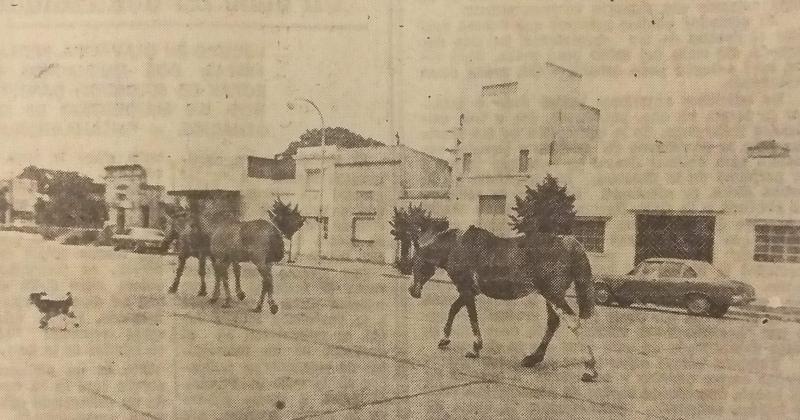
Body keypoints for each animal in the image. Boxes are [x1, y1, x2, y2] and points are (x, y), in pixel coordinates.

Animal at [410, 225, 596, 382]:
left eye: (416, 263)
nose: (412, 291)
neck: (455, 247)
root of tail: (569, 243)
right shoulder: (469, 292)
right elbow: (454, 309)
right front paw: (444, 340)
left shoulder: (466, 290)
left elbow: (472, 317)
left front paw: (475, 348)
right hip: (551, 296)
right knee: (553, 322)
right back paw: (532, 358)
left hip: (553, 295)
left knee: (573, 323)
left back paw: (589, 369)